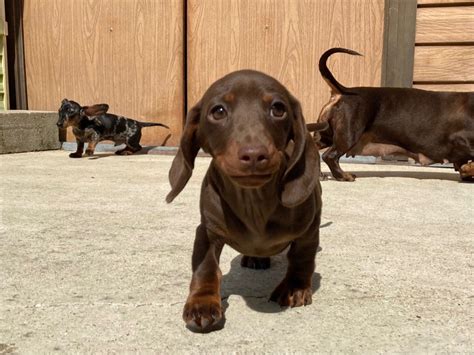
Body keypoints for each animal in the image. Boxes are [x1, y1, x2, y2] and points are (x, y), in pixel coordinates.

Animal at [166, 70, 322, 334]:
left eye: (278, 109)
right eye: (218, 111)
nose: (254, 154)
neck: (254, 202)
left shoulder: (309, 228)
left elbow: (302, 256)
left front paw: (295, 287)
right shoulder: (207, 231)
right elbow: (206, 268)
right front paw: (202, 303)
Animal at [314, 48, 474, 181]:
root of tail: (342, 91)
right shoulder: (461, 140)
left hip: (327, 135)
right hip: (348, 135)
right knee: (329, 156)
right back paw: (343, 176)